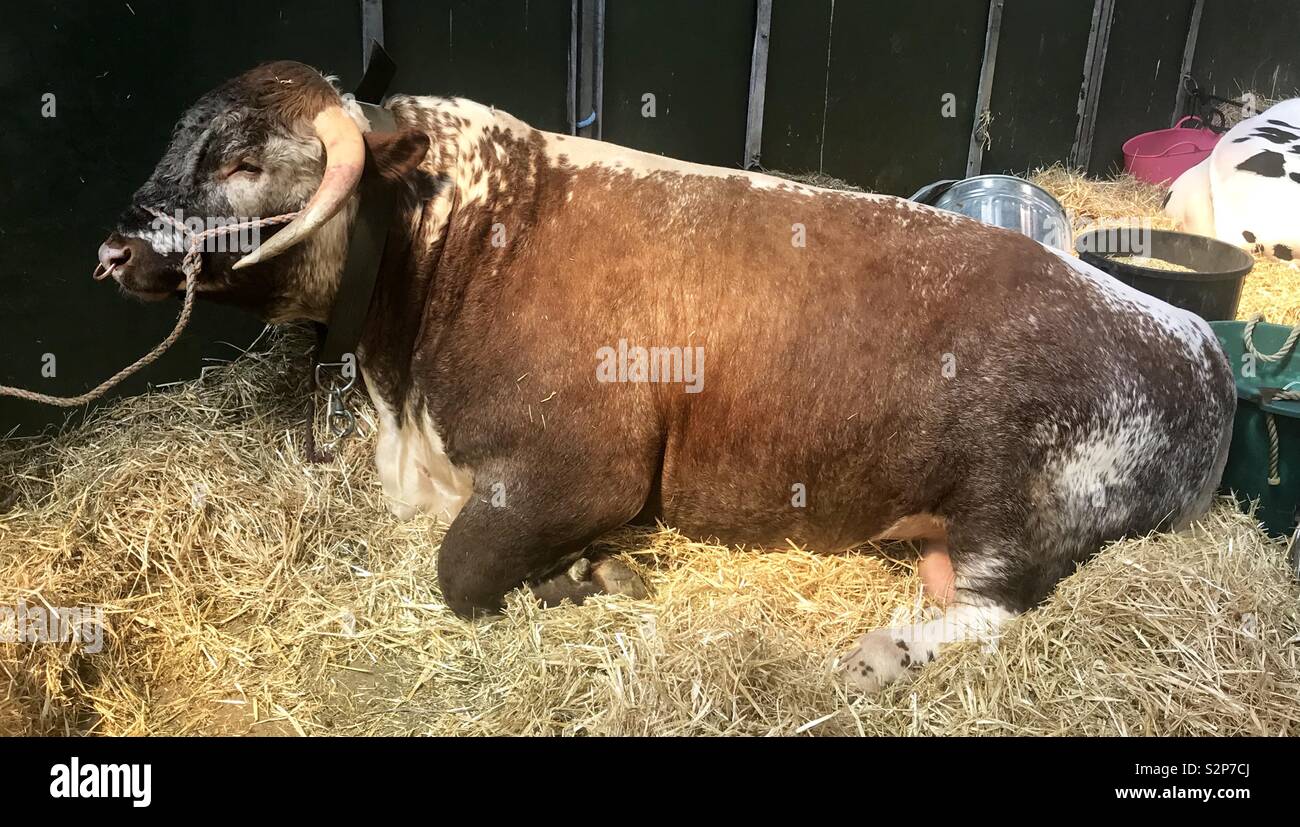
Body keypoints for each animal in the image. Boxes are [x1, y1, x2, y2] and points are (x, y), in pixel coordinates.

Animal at [96, 62, 1236, 693]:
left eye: (246, 163)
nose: (113, 248)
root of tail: (1199, 344)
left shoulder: (577, 472)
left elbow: (462, 573)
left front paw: (590, 574)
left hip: (1018, 514)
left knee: (995, 610)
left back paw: (880, 653)